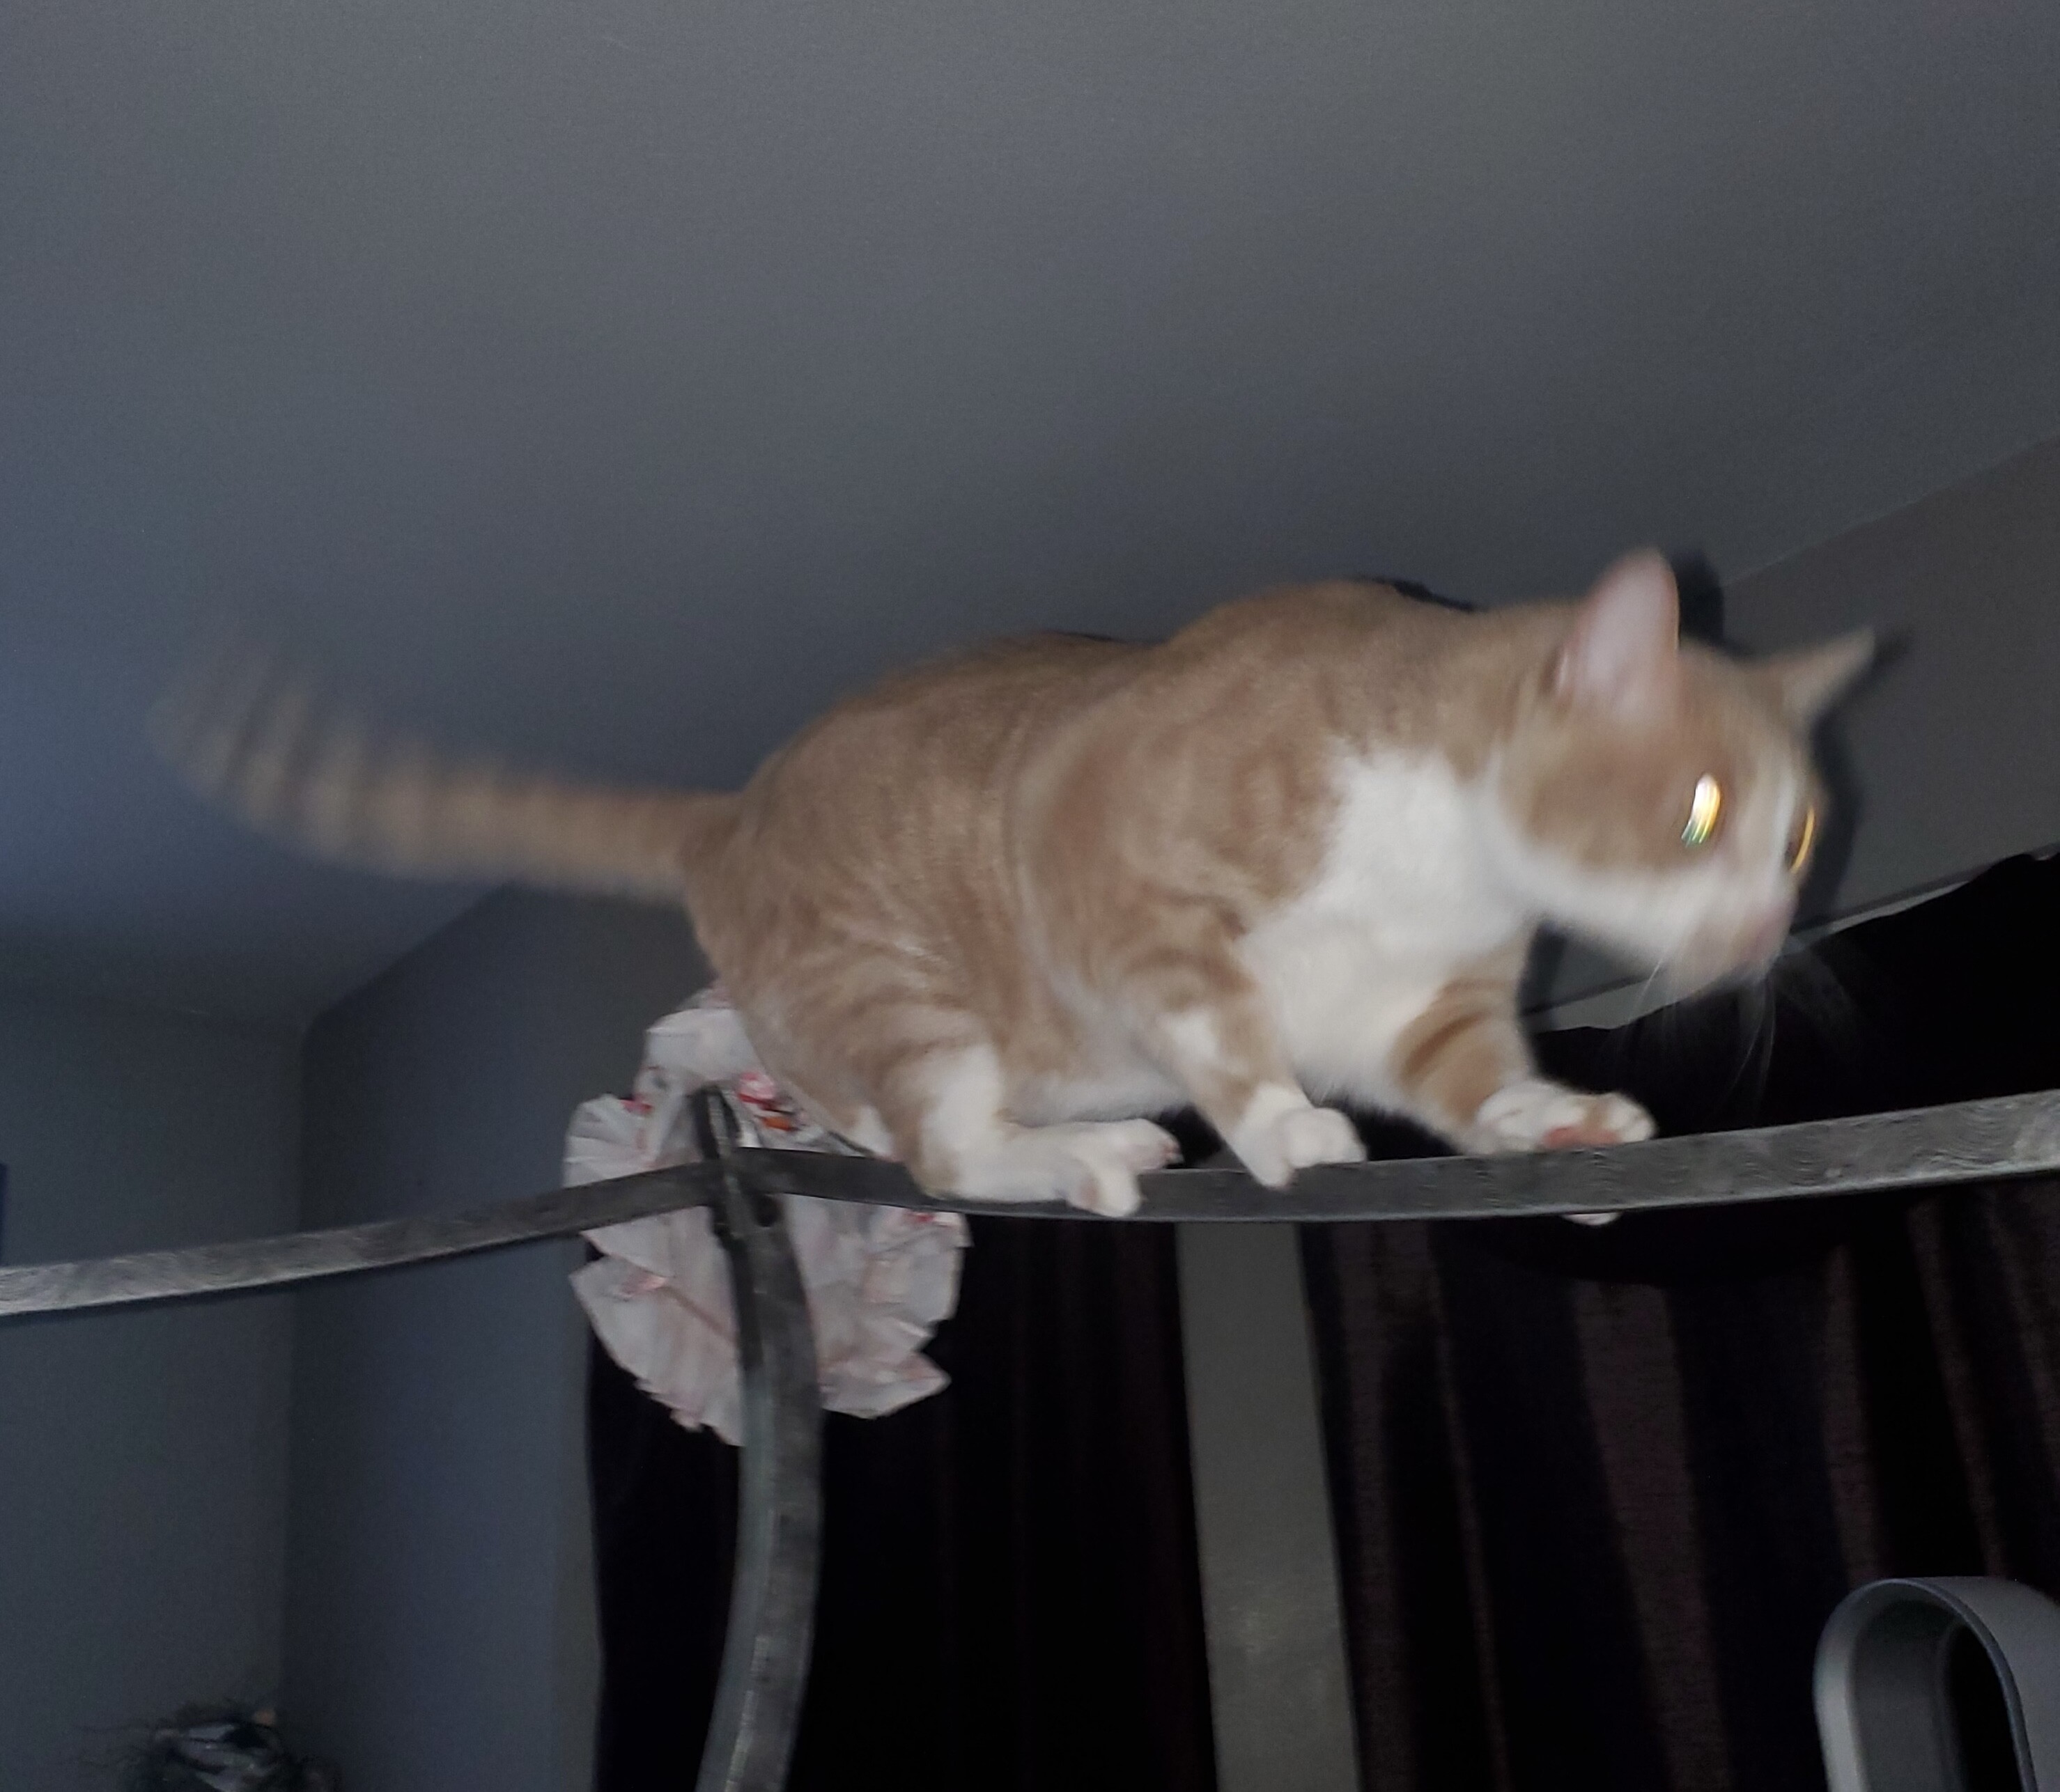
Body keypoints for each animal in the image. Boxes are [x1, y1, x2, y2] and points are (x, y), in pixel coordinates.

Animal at [155, 551, 1870, 1217]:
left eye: (1797, 836)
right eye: (1705, 810)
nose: (1765, 928)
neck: (1435, 863)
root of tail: (727, 810)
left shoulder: (1423, 1004)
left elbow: (1468, 1080)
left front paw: (1552, 1123)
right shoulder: (1105, 854)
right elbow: (1223, 1025)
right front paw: (1276, 1124)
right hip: (907, 991)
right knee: (945, 1147)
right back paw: (1093, 1147)